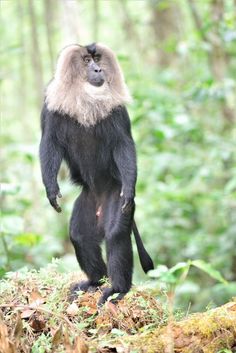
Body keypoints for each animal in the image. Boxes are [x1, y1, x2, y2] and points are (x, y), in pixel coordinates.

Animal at [39, 42, 153, 304]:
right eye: (86, 60)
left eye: (98, 58)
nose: (98, 69)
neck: (85, 97)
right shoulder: (50, 107)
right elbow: (49, 142)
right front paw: (51, 189)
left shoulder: (117, 111)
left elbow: (123, 144)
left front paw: (130, 190)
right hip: (88, 200)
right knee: (80, 236)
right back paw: (95, 281)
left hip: (113, 195)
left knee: (115, 234)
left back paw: (118, 288)